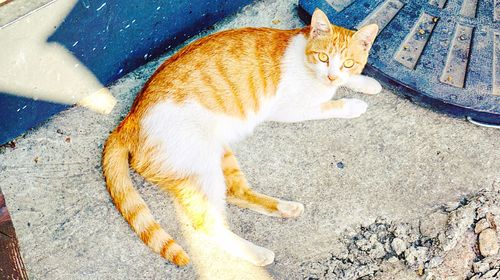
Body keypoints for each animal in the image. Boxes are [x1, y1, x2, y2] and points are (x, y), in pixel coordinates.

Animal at [103, 8, 380, 266]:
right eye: (323, 58)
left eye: (347, 64)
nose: (331, 75)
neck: (307, 61)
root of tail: (130, 119)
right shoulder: (291, 109)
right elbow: (330, 105)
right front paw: (352, 105)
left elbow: (348, 82)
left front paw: (365, 83)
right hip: (201, 167)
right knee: (207, 224)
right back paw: (256, 253)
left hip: (221, 155)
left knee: (236, 193)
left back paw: (285, 208)